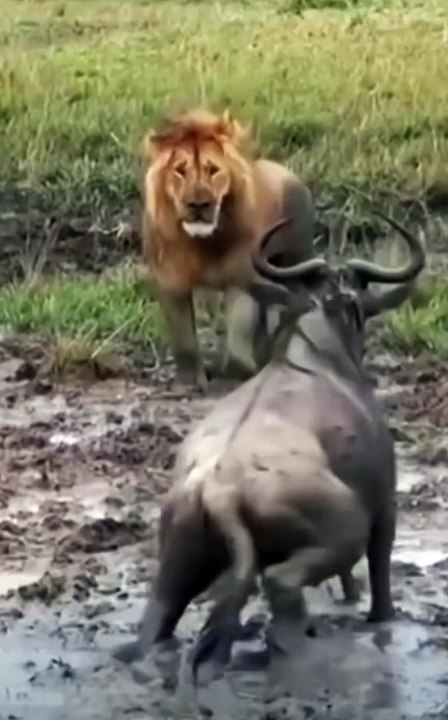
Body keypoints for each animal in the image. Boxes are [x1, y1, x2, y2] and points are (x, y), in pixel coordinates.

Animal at [140, 107, 316, 389]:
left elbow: (238, 335)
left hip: (295, 262)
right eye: (180, 171)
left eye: (213, 170)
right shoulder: (170, 281)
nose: (198, 204)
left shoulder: (242, 277)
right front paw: (189, 382)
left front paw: (234, 376)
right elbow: (184, 339)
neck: (201, 242)